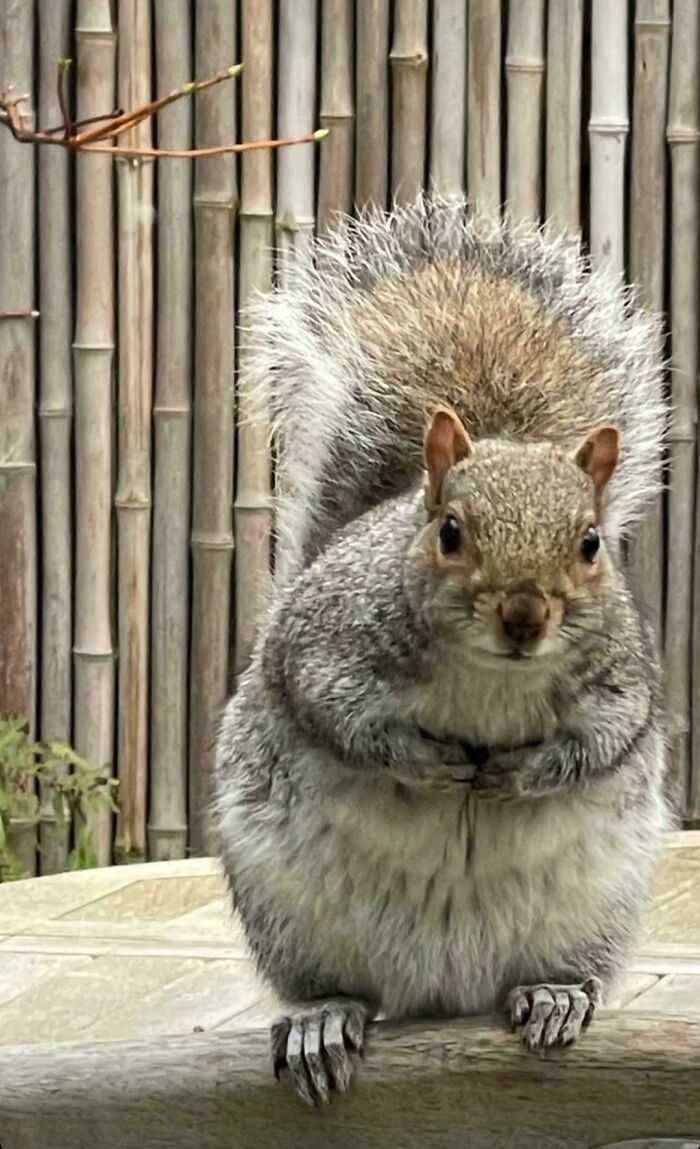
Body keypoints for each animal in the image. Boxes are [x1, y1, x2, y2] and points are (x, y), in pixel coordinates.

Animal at [214, 197, 671, 1107]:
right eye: (450, 532)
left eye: (591, 543)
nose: (524, 616)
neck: (492, 675)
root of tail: (443, 988)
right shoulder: (326, 642)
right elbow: (334, 713)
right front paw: (425, 761)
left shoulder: (622, 681)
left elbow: (606, 739)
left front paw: (522, 773)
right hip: (287, 909)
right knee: (334, 985)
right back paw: (322, 1019)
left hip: (596, 906)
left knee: (554, 969)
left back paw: (554, 992)